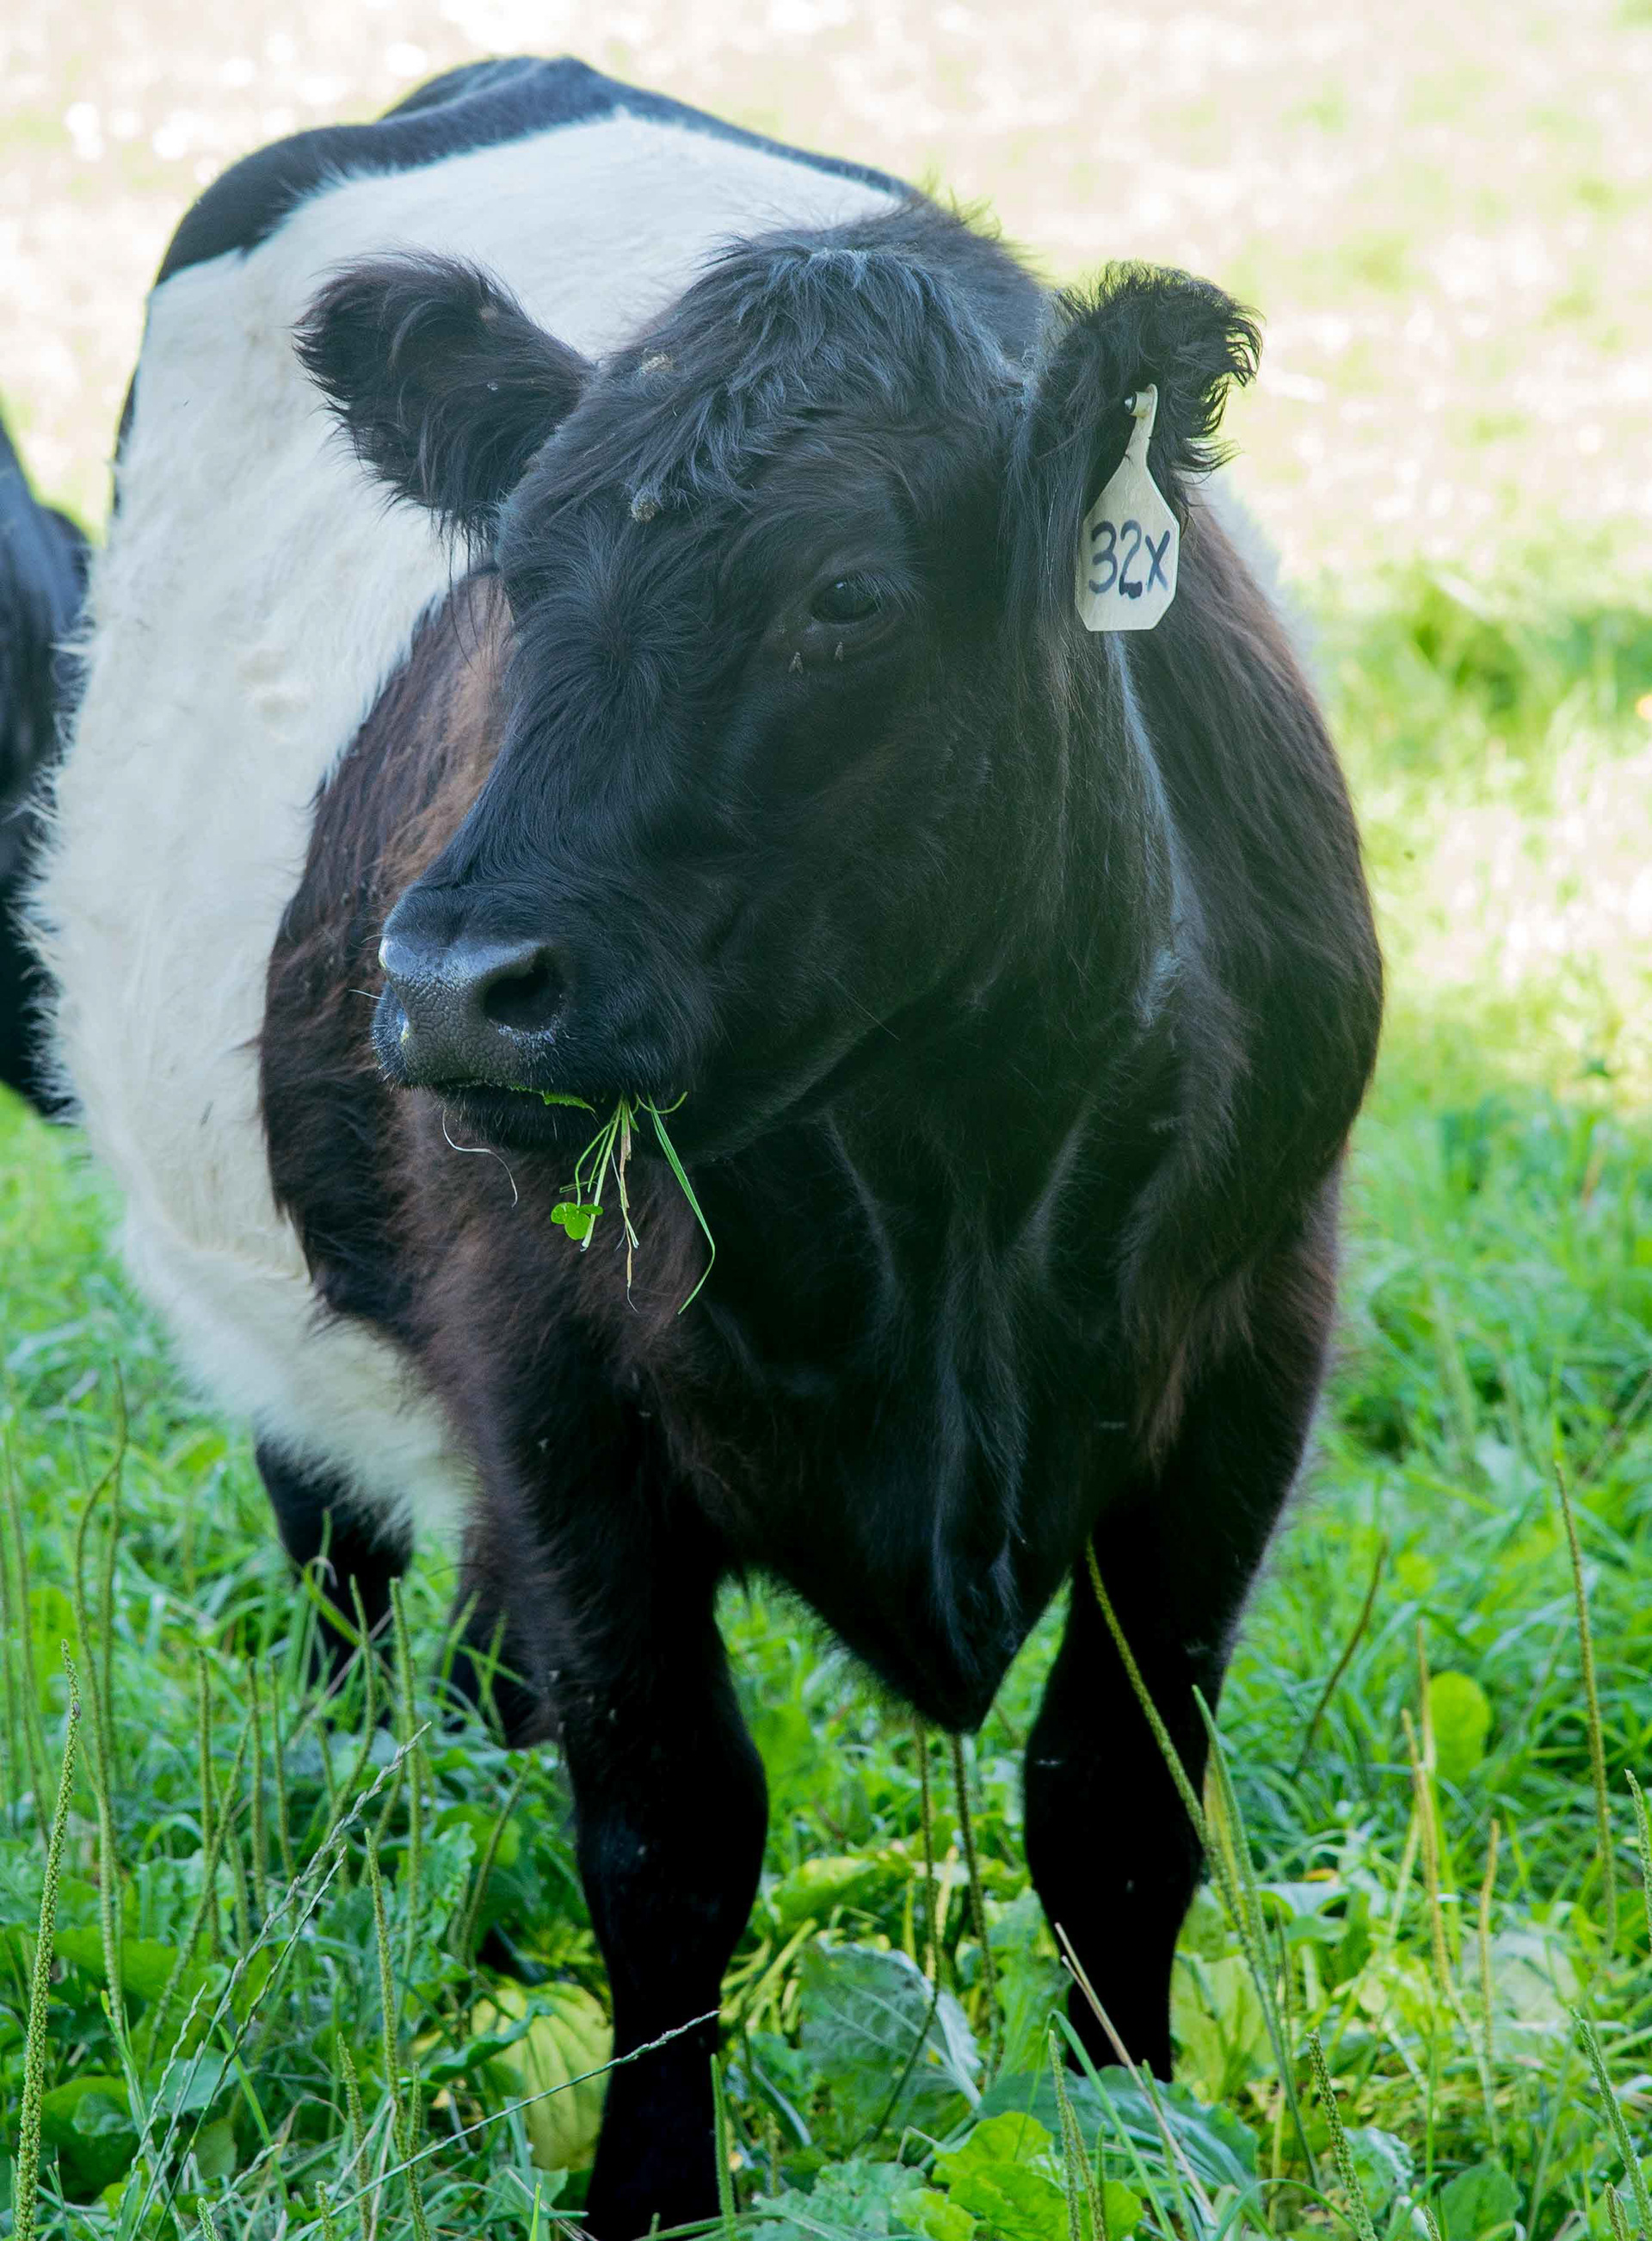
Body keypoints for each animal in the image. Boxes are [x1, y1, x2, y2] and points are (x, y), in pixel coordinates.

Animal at [34, 56, 1383, 2234]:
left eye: (848, 597)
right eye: (511, 580)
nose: (449, 981)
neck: (956, 1165)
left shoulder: (1250, 1341)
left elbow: (1114, 1803)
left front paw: (1129, 2144)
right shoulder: (560, 1383)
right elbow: (671, 1831)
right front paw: (646, 2190)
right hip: (293, 1331)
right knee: (343, 1583)